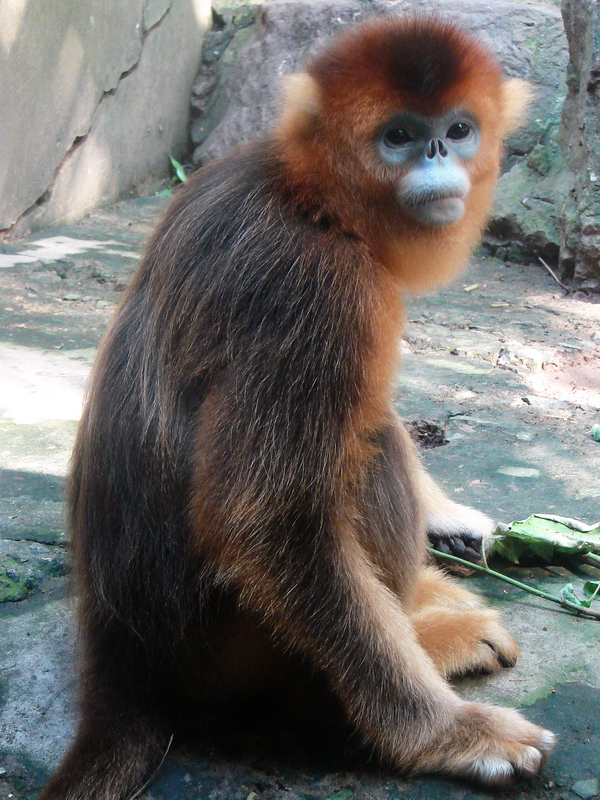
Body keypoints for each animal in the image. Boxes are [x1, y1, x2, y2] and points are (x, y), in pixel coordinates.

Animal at [41, 15, 555, 800]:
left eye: (458, 129)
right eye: (399, 136)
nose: (438, 153)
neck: (310, 198)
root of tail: (124, 658)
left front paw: (450, 517)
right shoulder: (316, 288)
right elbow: (269, 523)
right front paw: (449, 736)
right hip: (232, 653)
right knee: (366, 444)